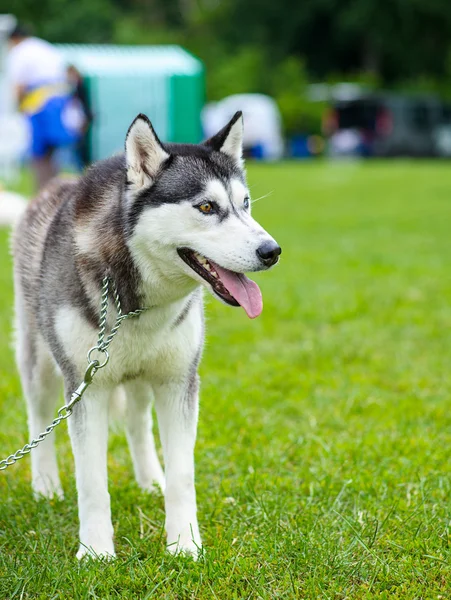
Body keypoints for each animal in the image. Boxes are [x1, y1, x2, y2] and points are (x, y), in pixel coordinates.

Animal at [12, 111, 280, 556]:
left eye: (245, 204)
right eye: (206, 207)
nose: (272, 251)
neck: (138, 304)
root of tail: (53, 187)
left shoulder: (178, 382)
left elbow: (182, 476)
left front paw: (184, 545)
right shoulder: (86, 388)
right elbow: (92, 482)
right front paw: (96, 552)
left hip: (141, 375)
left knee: (138, 421)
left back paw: (149, 479)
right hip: (40, 363)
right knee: (38, 417)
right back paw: (45, 485)